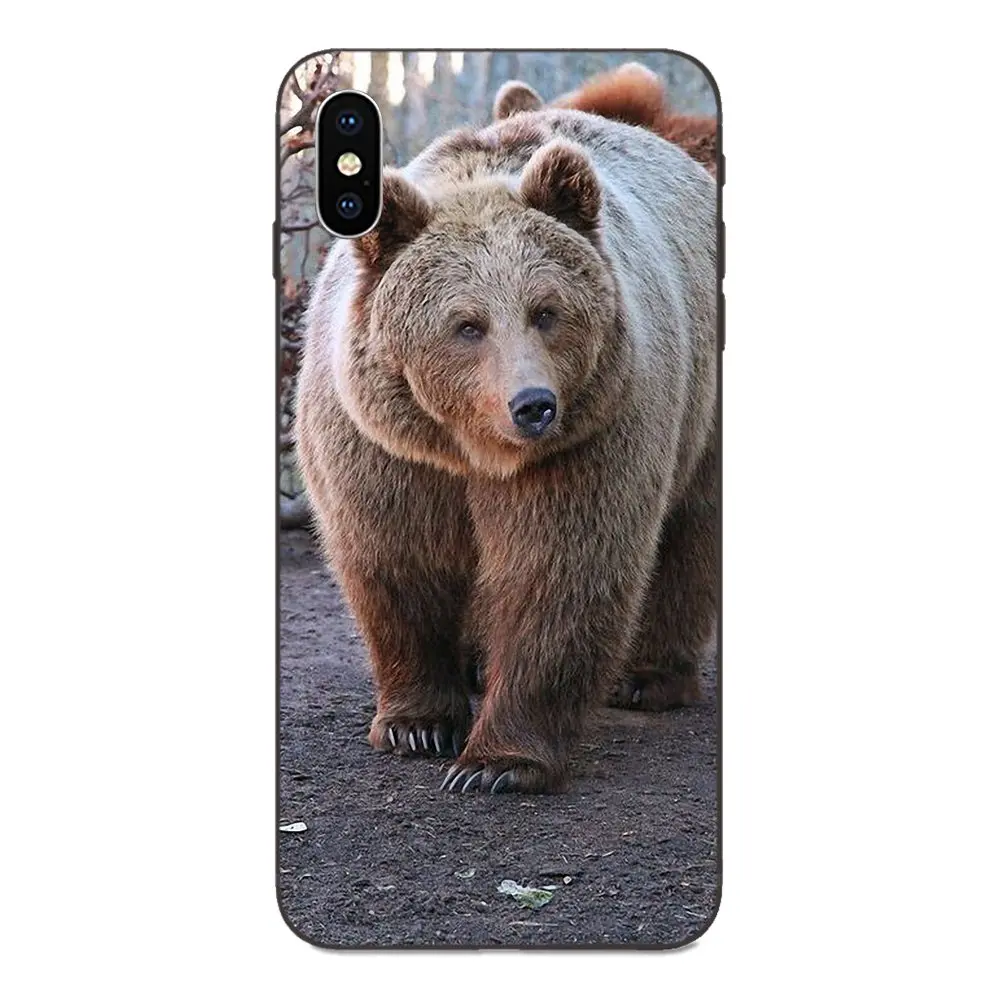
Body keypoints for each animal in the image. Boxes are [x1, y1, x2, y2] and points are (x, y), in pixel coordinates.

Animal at [295, 105, 718, 794]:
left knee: (690, 528)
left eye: (546, 310)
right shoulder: (384, 451)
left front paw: (497, 762)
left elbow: (558, 570)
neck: (470, 447)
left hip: (700, 402)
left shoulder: (590, 439)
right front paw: (417, 724)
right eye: (467, 324)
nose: (534, 404)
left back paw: (649, 677)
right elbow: (395, 561)